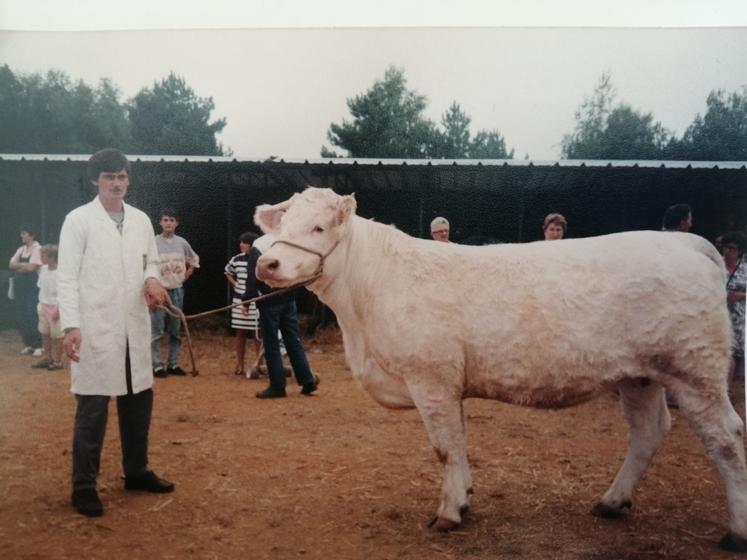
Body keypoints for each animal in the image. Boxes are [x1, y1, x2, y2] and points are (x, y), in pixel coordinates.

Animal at [253, 187, 747, 552]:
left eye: (318, 227)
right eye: (283, 226)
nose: (266, 263)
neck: (361, 311)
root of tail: (686, 242)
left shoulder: (431, 377)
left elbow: (445, 447)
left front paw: (449, 513)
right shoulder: (446, 383)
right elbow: (458, 444)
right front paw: (465, 497)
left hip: (695, 369)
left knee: (727, 438)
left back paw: (736, 531)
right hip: (640, 375)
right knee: (649, 431)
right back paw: (611, 502)